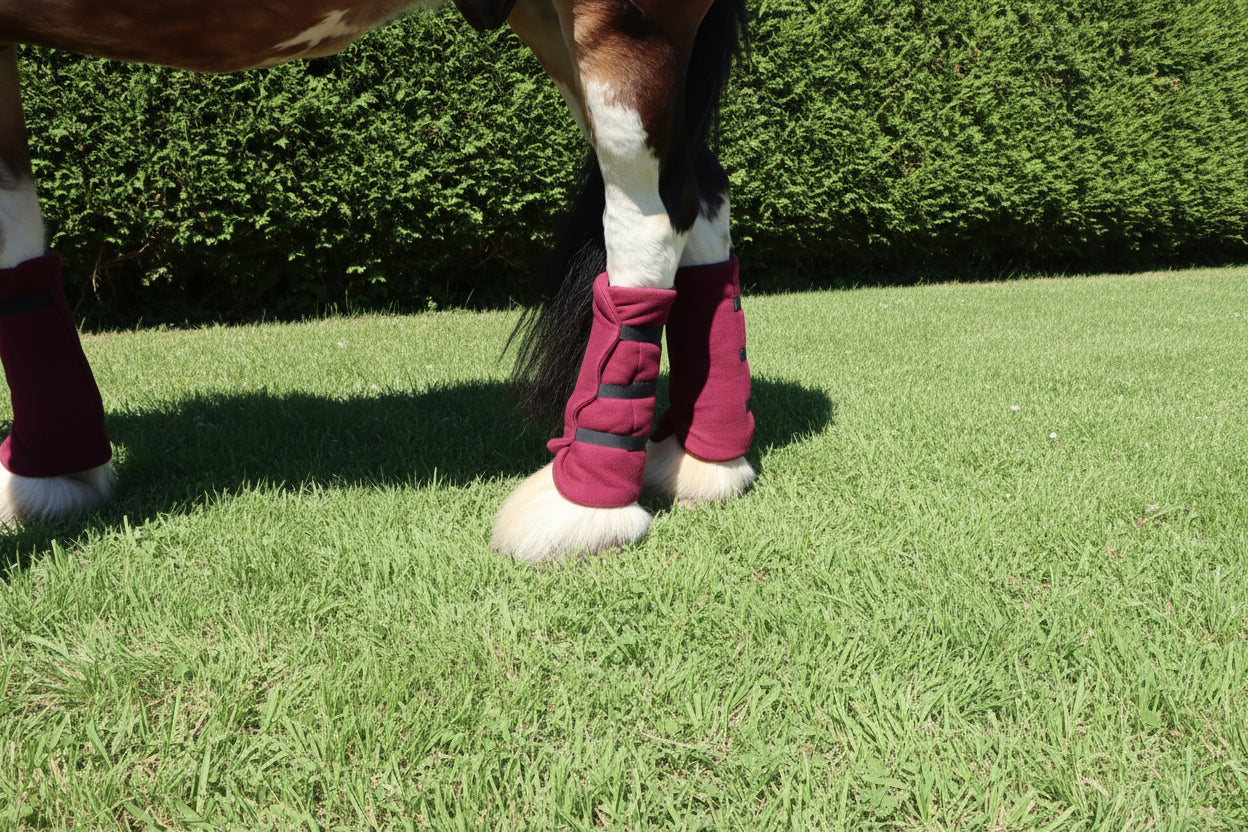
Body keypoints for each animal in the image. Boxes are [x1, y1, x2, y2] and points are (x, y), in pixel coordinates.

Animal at [0, 0, 756, 562]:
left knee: (651, 218)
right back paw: (706, 459)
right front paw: (52, 469)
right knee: (702, 200)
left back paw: (584, 502)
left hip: (628, 25)